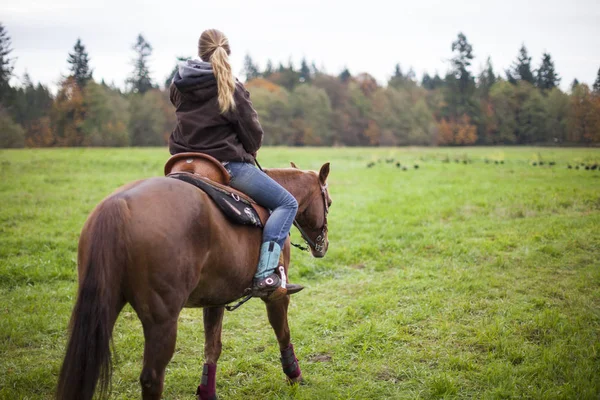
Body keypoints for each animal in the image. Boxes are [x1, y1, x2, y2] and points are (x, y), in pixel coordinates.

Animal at [55, 161, 332, 400]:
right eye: (328, 201)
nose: (323, 245)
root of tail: (118, 206)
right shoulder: (276, 296)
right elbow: (282, 332)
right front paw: (294, 376)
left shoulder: (215, 298)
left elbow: (212, 348)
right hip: (162, 320)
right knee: (151, 378)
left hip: (105, 306)